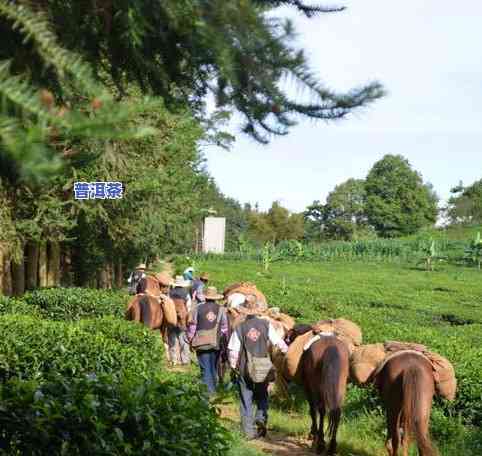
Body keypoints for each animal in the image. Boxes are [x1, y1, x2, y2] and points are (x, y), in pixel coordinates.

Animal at [292, 326, 348, 454]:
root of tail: (331, 347)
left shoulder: (308, 387)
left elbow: (312, 410)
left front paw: (313, 434)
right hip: (340, 388)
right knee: (337, 412)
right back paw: (332, 446)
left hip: (317, 387)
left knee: (321, 410)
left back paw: (320, 443)